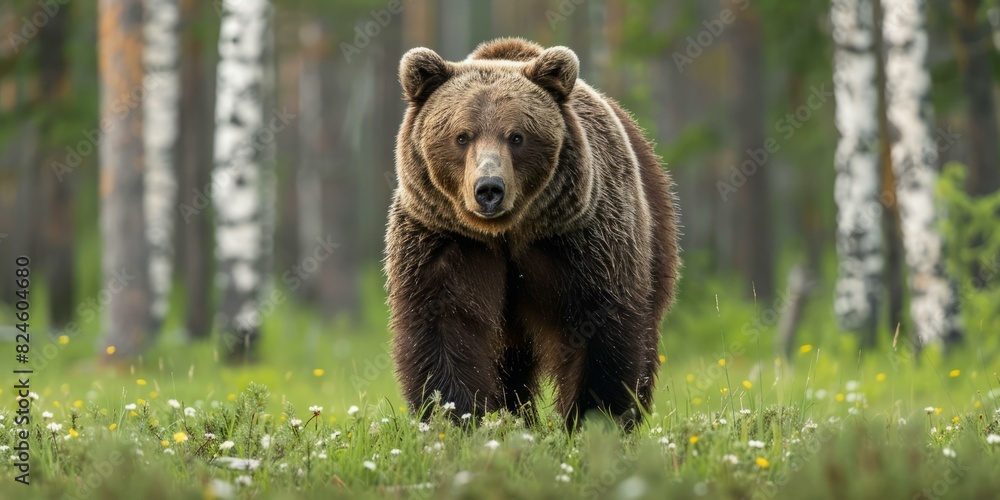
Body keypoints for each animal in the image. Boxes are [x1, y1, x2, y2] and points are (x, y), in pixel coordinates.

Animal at [385, 38, 680, 430]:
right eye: (461, 136)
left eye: (516, 136)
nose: (489, 188)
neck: (506, 232)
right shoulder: (445, 239)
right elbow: (445, 326)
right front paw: (455, 416)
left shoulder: (580, 238)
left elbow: (599, 325)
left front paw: (593, 416)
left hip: (654, 233)